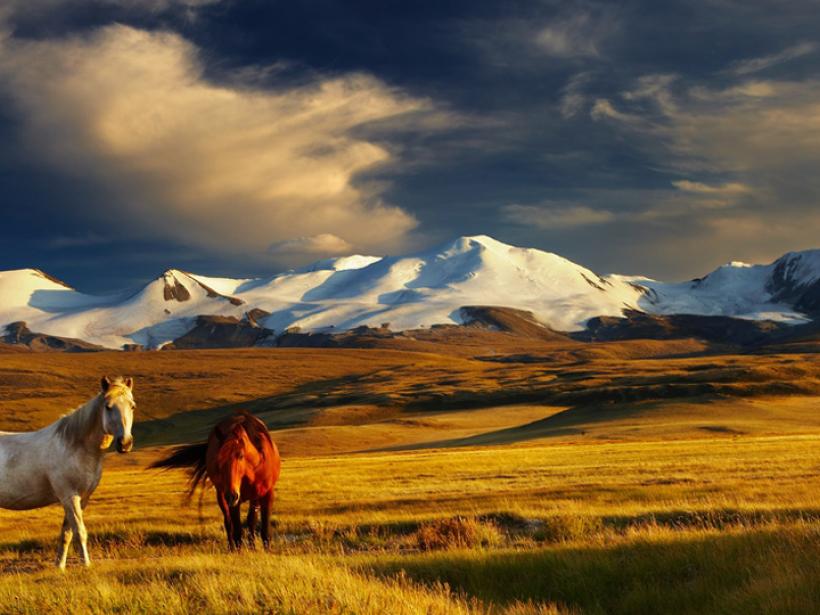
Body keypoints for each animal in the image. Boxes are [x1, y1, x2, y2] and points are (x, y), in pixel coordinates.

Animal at [0, 378, 136, 572]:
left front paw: (60, 566)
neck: (75, 446)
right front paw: (86, 565)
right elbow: (80, 531)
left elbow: (67, 533)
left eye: (132, 406)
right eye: (108, 407)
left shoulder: (81, 499)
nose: (125, 443)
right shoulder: (69, 496)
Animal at [151, 412, 282, 552]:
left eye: (241, 455)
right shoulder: (235, 501)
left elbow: (264, 530)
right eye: (218, 459)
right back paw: (232, 548)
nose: (231, 495)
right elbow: (237, 530)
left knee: (251, 520)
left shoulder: (267, 495)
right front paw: (239, 551)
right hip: (222, 496)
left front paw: (265, 550)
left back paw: (251, 546)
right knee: (229, 523)